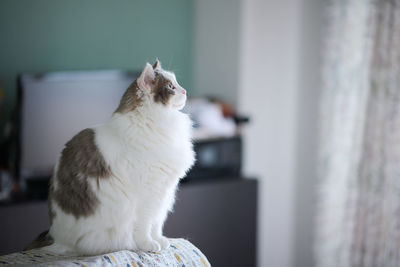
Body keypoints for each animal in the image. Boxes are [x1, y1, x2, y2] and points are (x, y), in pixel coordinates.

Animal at [27, 60, 195, 255]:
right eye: (170, 87)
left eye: (176, 83)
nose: (185, 91)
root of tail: (55, 237)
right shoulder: (149, 193)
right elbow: (145, 225)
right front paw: (148, 245)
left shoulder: (164, 193)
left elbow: (157, 224)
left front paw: (160, 240)